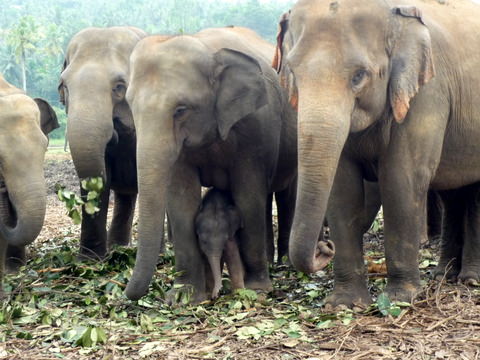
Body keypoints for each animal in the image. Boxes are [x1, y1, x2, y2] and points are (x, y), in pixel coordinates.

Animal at [124, 25, 334, 302]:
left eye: (181, 109)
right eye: (130, 106)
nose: (126, 294)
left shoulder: (256, 128)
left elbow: (248, 195)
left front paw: (257, 289)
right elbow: (182, 200)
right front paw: (183, 297)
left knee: (286, 194)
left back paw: (285, 264)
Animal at [276, 0, 480, 306]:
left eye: (359, 75)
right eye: (292, 71)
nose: (325, 247)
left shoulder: (427, 93)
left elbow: (401, 178)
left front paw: (400, 298)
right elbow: (343, 187)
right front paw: (344, 303)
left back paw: (470, 279)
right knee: (453, 191)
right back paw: (443, 275)